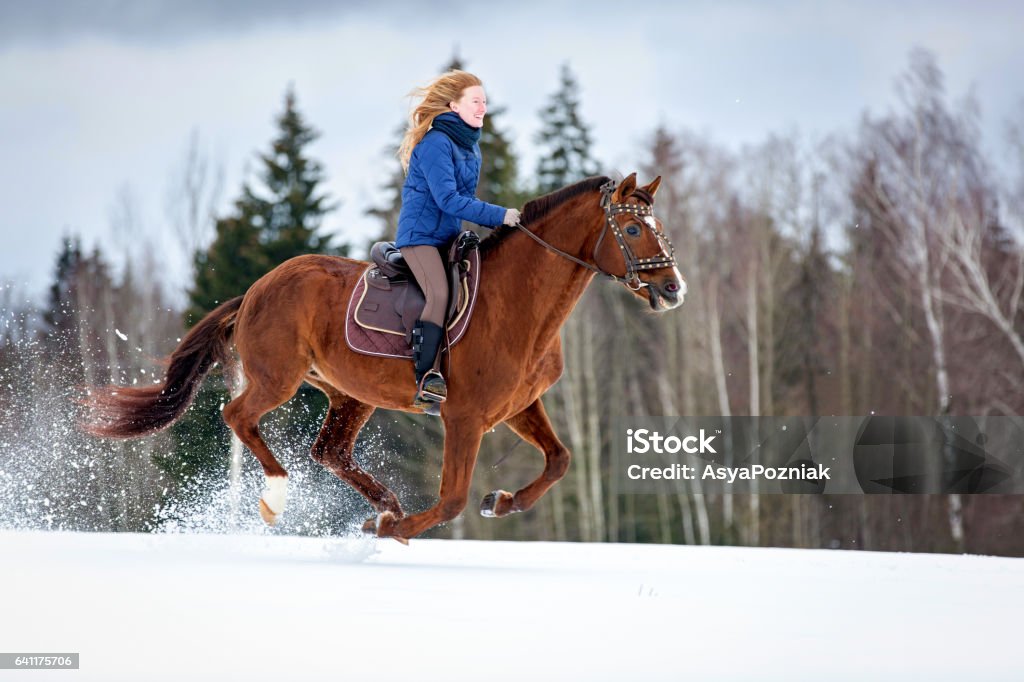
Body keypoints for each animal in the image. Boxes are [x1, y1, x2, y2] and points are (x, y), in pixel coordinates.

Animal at [81, 173, 688, 540]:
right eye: (632, 228)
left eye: (658, 227)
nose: (673, 290)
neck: (521, 303)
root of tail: (257, 288)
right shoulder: (464, 416)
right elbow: (451, 500)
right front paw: (395, 531)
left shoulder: (516, 407)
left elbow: (559, 460)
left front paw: (499, 502)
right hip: (278, 377)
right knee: (239, 416)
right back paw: (283, 498)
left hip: (349, 393)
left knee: (328, 451)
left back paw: (387, 505)